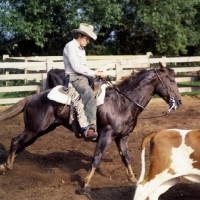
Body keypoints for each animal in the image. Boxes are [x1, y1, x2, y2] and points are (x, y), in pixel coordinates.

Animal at [0, 62, 182, 192]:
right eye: (172, 80)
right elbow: (96, 158)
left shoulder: (123, 137)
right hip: (33, 129)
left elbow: (126, 158)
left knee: (21, 145)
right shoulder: (105, 136)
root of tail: (32, 97)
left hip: (40, 131)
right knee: (15, 141)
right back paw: (7, 166)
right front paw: (86, 183)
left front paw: (133, 180)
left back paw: (6, 165)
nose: (179, 102)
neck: (122, 102)